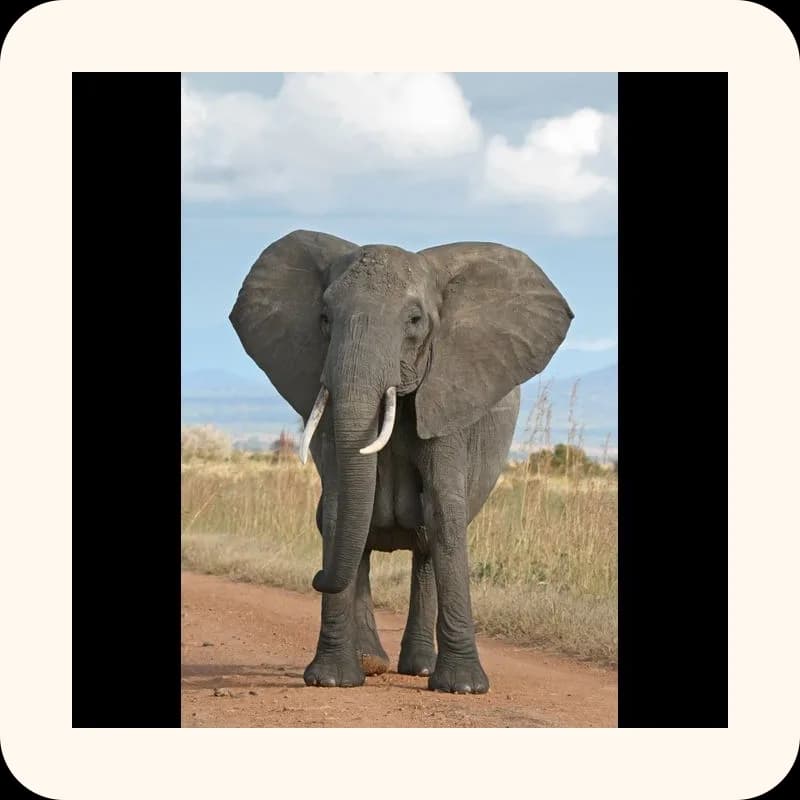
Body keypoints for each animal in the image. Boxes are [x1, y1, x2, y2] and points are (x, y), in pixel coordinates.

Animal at [229, 230, 573, 693]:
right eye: (324, 318)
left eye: (414, 320)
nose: (315, 578)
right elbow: (338, 510)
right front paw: (331, 680)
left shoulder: (449, 394)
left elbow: (444, 511)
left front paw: (463, 688)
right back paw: (371, 662)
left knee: (427, 541)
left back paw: (420, 669)